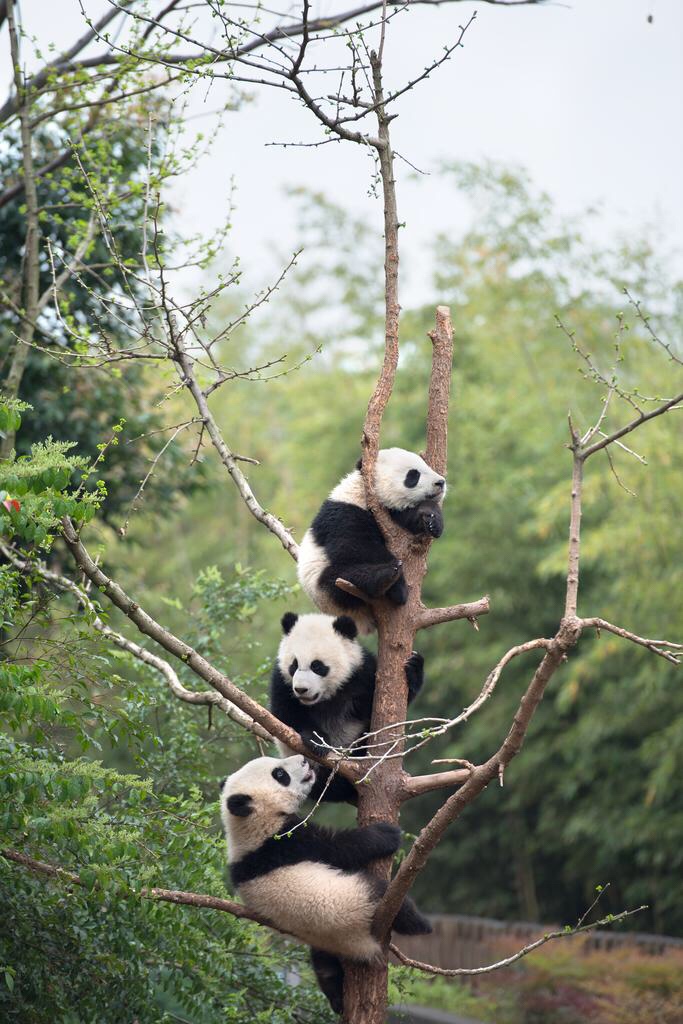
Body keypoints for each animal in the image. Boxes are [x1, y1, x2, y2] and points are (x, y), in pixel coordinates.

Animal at [220, 757, 432, 1011]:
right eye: (280, 774)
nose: (304, 760)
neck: (249, 825)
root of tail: (360, 945)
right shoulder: (285, 842)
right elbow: (337, 848)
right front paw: (385, 835)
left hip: (323, 942)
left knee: (325, 968)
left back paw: (338, 1000)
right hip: (354, 901)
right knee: (387, 898)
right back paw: (421, 924)